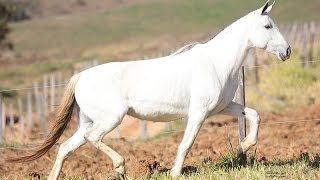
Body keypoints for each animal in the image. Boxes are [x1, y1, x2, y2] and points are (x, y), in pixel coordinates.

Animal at [10, 1, 290, 179]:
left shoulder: (222, 107)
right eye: (268, 26)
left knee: (65, 148)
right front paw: (175, 173)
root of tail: (80, 77)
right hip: (110, 119)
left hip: (87, 122)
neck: (215, 62)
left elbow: (254, 114)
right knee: (93, 139)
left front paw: (244, 147)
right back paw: (120, 167)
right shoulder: (198, 113)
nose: (287, 51)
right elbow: (186, 143)